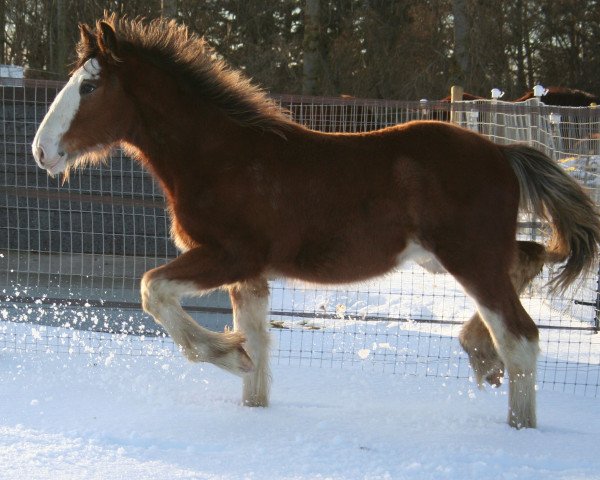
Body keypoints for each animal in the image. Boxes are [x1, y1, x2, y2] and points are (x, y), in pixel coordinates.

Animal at [31, 15, 600, 430]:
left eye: (90, 87)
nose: (41, 151)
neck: (222, 155)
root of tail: (503, 152)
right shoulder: (250, 274)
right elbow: (260, 344)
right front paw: (249, 391)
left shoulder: (230, 255)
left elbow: (152, 289)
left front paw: (226, 354)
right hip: (455, 257)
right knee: (530, 259)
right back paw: (480, 354)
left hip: (470, 258)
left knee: (522, 337)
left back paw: (516, 423)